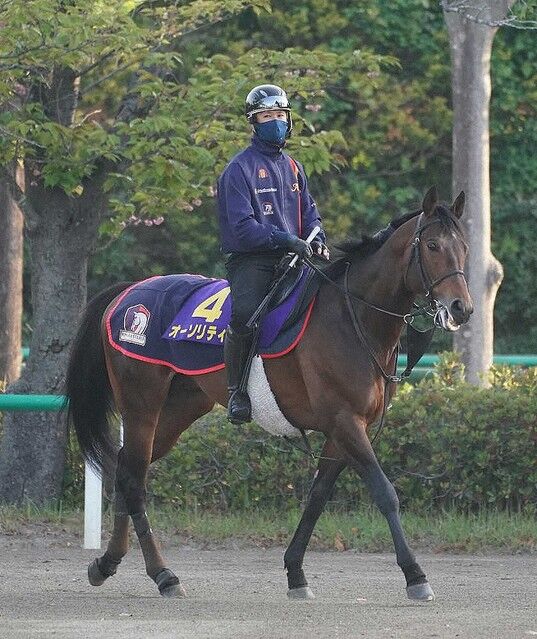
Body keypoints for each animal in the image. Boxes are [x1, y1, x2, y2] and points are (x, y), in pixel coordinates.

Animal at [64, 186, 473, 601]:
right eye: (433, 245)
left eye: (464, 247)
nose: (461, 307)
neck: (350, 316)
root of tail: (128, 293)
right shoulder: (345, 422)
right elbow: (385, 492)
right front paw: (415, 575)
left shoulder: (341, 433)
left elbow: (316, 498)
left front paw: (296, 572)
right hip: (141, 405)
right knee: (133, 479)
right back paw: (163, 574)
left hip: (180, 409)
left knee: (128, 468)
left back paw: (107, 563)